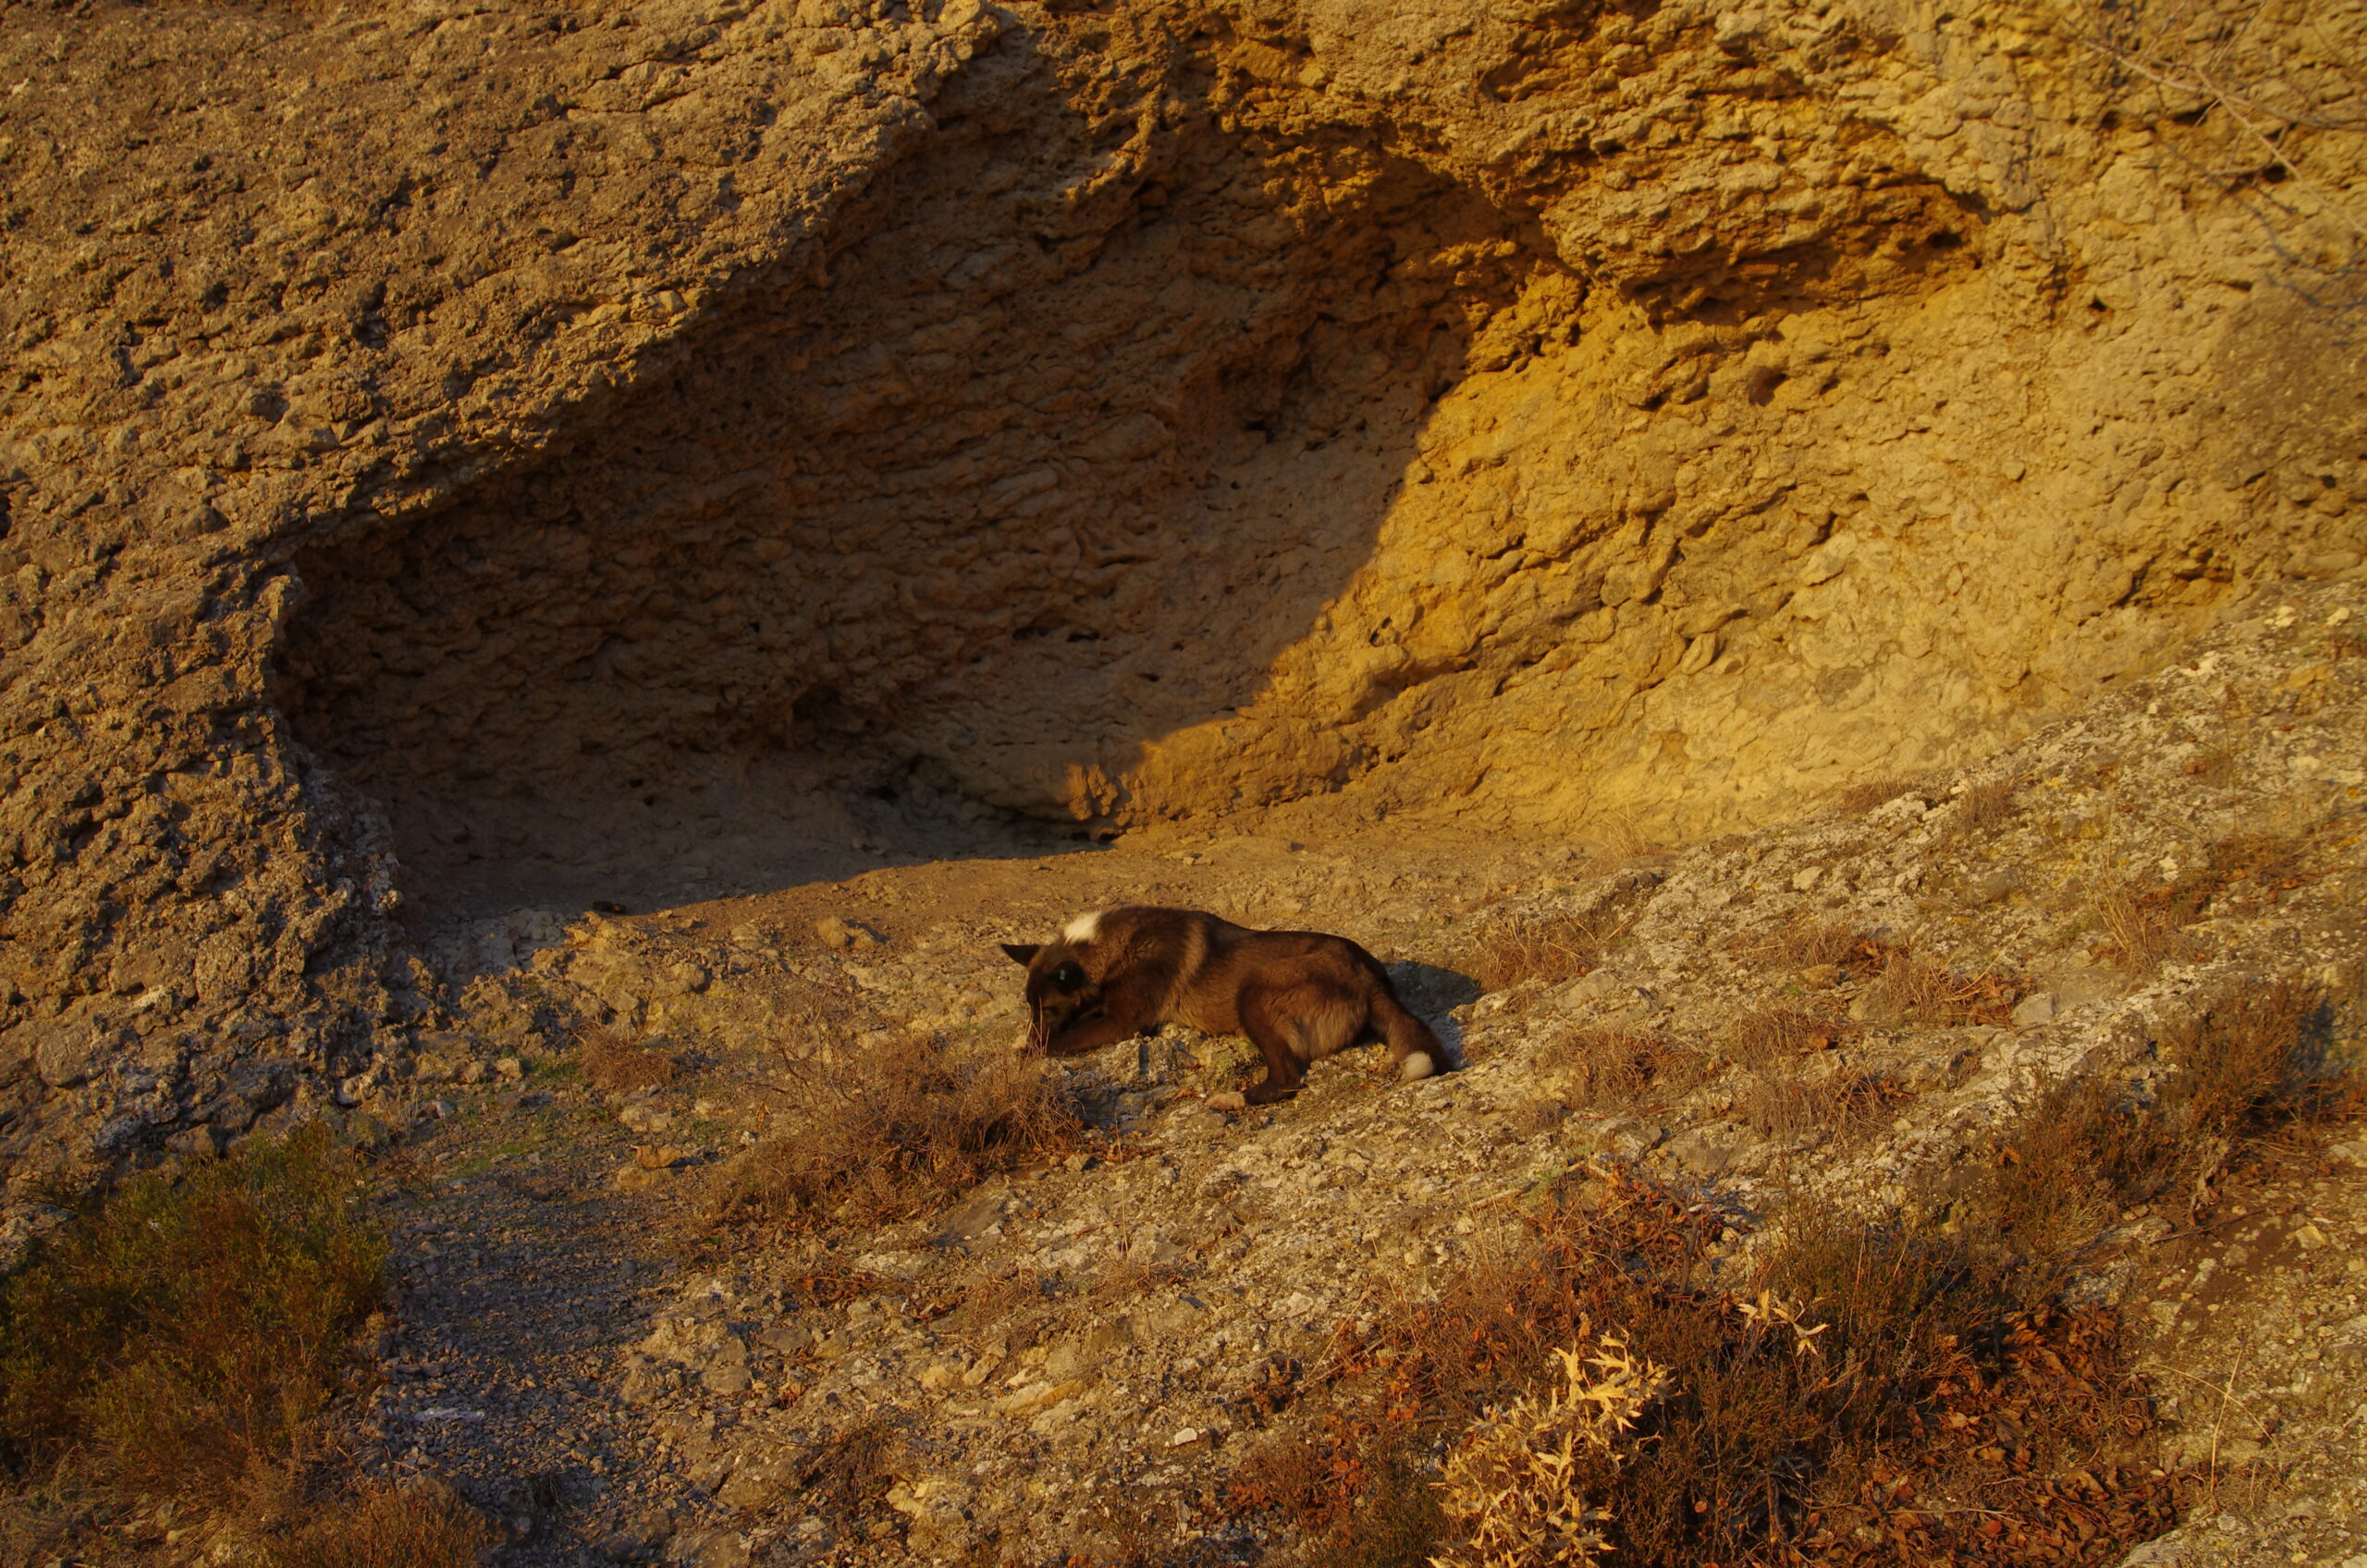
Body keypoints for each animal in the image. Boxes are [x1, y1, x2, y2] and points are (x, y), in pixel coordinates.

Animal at [999, 904, 1439, 1113]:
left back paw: (1234, 1099)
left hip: (1254, 993)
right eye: (1030, 1008)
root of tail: (1371, 977)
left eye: (1048, 1010)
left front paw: (1029, 1050)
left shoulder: (1125, 1021)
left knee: (1287, 1080)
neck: (1115, 948)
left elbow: (1058, 1043)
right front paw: (1021, 1043)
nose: (1032, 1030)